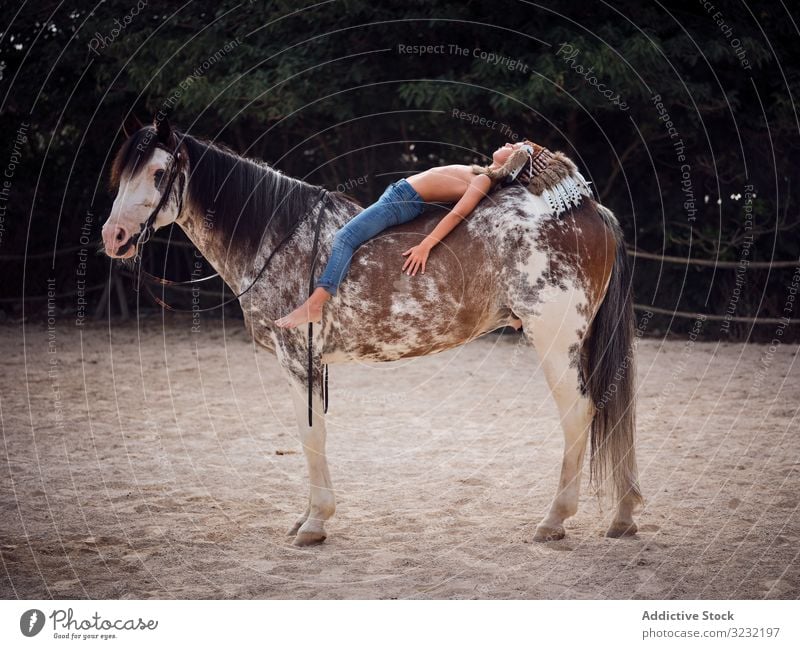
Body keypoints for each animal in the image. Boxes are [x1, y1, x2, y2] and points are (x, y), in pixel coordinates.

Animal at [101, 117, 644, 548]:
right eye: (123, 174)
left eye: (159, 173)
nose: (114, 237)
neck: (276, 238)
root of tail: (592, 211)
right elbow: (311, 434)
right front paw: (307, 517)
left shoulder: (300, 360)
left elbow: (310, 435)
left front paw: (314, 524)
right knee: (608, 412)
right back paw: (622, 515)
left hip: (554, 340)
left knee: (579, 413)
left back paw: (554, 521)